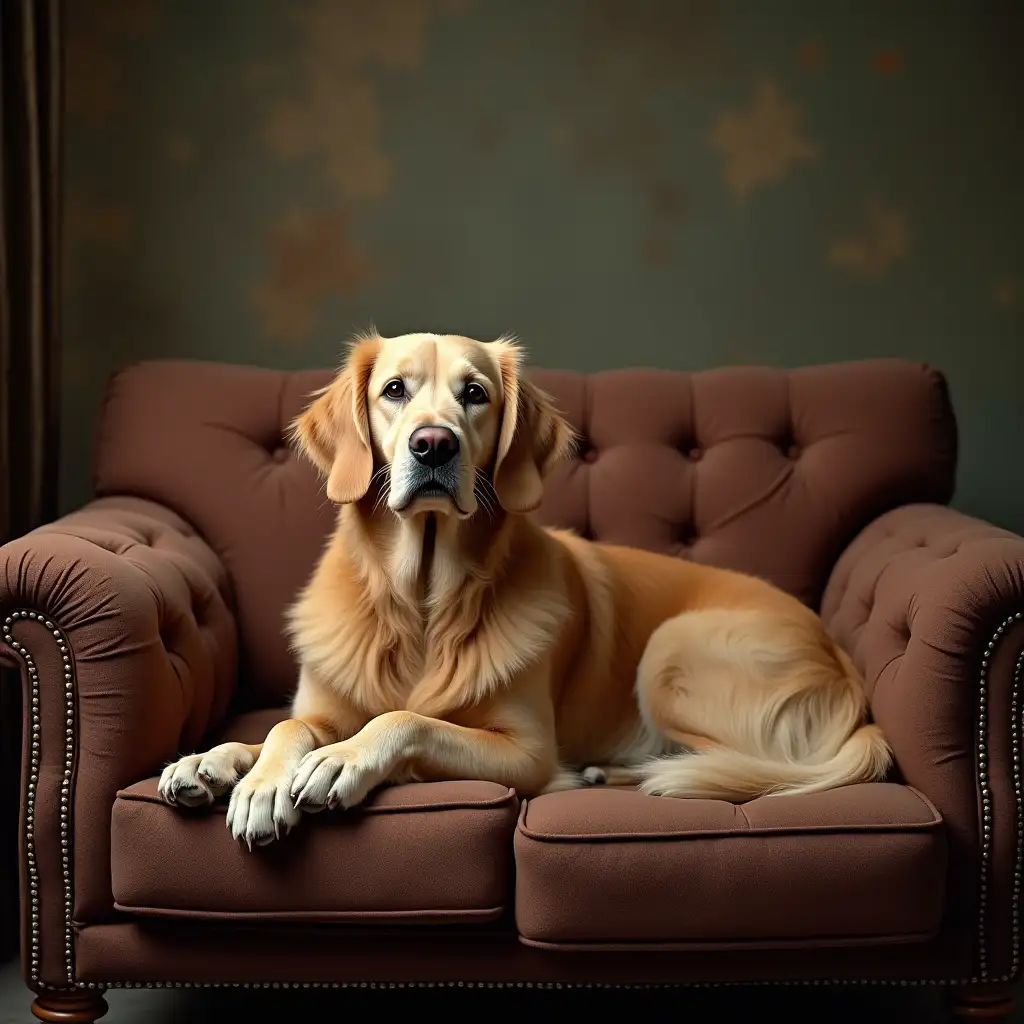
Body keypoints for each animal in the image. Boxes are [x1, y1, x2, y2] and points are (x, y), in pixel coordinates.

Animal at [155, 333, 892, 847]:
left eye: (475, 393)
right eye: (394, 389)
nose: (433, 444)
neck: (422, 603)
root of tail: (842, 661)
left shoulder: (524, 751)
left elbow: (407, 720)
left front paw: (340, 762)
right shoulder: (324, 705)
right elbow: (283, 727)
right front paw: (231, 770)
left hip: (673, 652)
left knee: (745, 766)